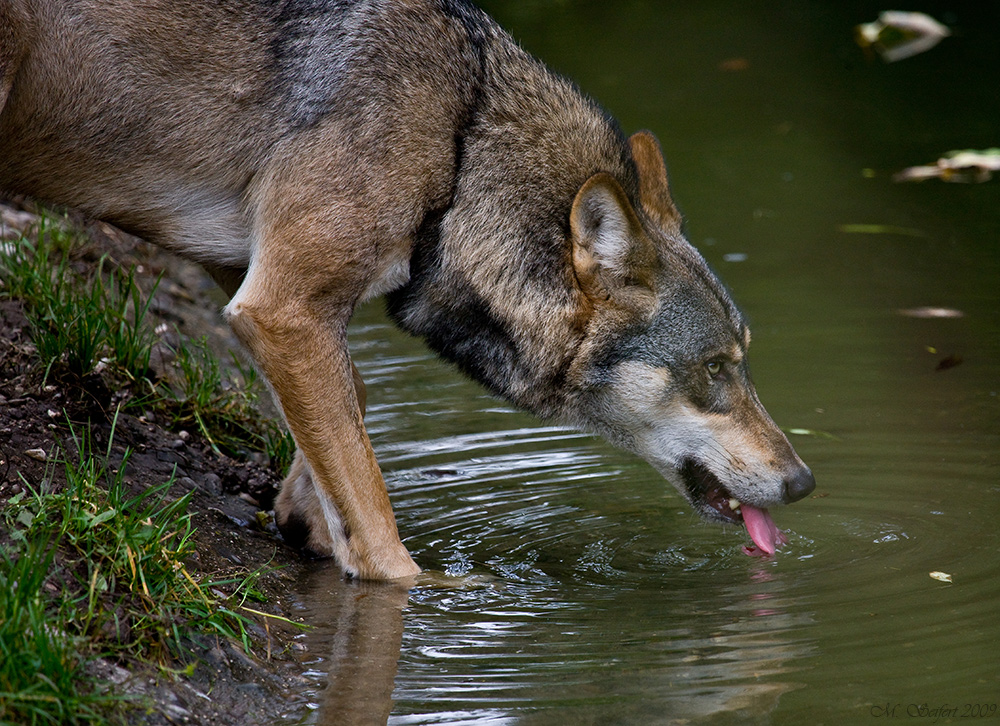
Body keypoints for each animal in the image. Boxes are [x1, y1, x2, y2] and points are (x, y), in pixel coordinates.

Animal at [0, 0, 812, 580]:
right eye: (716, 369)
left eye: (742, 360)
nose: (803, 482)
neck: (458, 147)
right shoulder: (283, 307)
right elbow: (379, 525)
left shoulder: (255, 278)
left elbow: (351, 409)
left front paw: (303, 514)